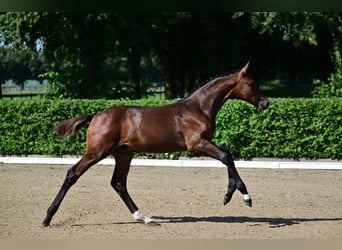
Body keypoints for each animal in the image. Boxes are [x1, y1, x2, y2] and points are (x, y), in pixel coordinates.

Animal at [41, 62, 270, 227]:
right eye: (251, 84)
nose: (265, 103)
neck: (199, 107)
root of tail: (95, 116)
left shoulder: (204, 143)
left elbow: (227, 156)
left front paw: (229, 195)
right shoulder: (196, 144)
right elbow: (226, 157)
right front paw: (244, 197)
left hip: (123, 153)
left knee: (118, 183)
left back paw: (144, 217)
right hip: (97, 151)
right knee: (73, 174)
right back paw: (47, 218)